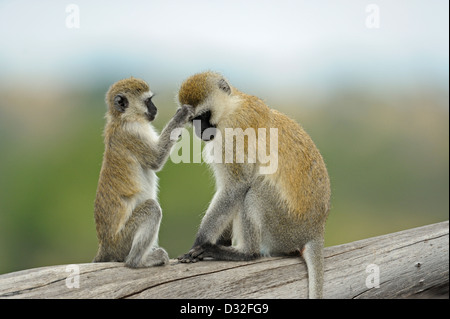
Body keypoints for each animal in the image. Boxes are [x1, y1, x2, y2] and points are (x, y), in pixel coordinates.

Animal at [93, 77, 193, 268]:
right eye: (148, 101)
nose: (155, 109)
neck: (123, 118)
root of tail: (105, 246)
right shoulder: (133, 132)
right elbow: (156, 159)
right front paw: (181, 115)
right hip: (122, 241)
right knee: (152, 208)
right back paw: (137, 261)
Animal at [177, 71, 330, 298]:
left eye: (203, 116)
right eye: (194, 120)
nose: (200, 131)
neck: (232, 106)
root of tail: (315, 230)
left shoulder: (231, 135)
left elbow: (236, 187)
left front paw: (200, 243)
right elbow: (231, 192)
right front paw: (220, 240)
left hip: (284, 226)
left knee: (254, 191)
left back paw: (247, 253)